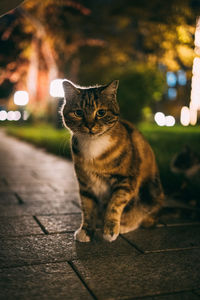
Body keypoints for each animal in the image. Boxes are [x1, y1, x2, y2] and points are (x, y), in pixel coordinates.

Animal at [61, 79, 164, 241]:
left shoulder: (126, 181)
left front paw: (110, 230)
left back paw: (125, 225)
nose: (89, 126)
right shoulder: (85, 184)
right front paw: (86, 231)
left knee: (144, 219)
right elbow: (87, 207)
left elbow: (115, 204)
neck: (93, 146)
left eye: (101, 112)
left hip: (149, 195)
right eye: (78, 112)